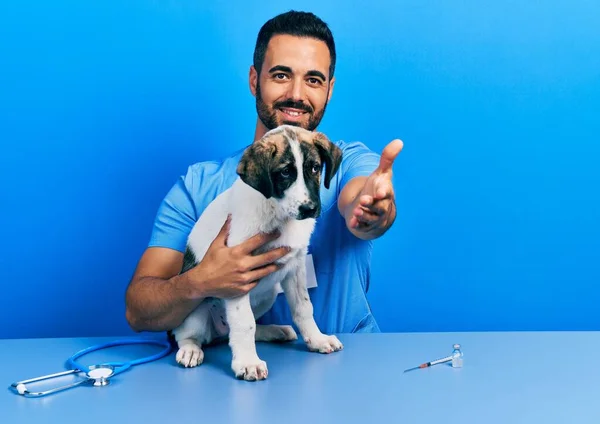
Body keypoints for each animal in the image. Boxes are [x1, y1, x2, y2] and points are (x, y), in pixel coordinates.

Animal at [171, 124, 344, 380]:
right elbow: (245, 323)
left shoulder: (295, 268)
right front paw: (247, 362)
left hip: (269, 292)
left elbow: (304, 308)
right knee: (187, 335)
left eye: (314, 168)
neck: (278, 213)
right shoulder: (235, 274)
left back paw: (274, 331)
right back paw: (191, 350)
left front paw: (317, 339)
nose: (309, 209)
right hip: (195, 305)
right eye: (285, 173)